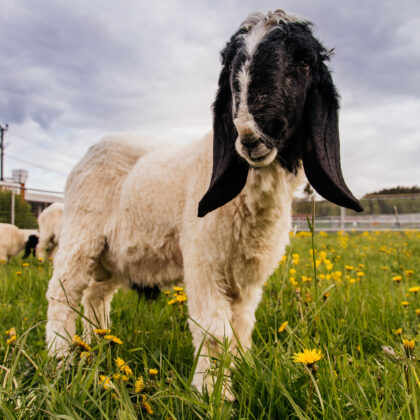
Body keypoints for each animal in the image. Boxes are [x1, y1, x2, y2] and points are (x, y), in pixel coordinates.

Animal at [45, 9, 360, 398]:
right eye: (230, 66)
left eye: (303, 61)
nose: (250, 134)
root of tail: (90, 151)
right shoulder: (204, 262)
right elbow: (213, 333)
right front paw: (214, 394)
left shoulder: (247, 280)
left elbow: (241, 328)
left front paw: (240, 370)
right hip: (81, 234)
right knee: (63, 294)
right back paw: (61, 359)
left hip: (112, 257)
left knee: (95, 297)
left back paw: (98, 346)